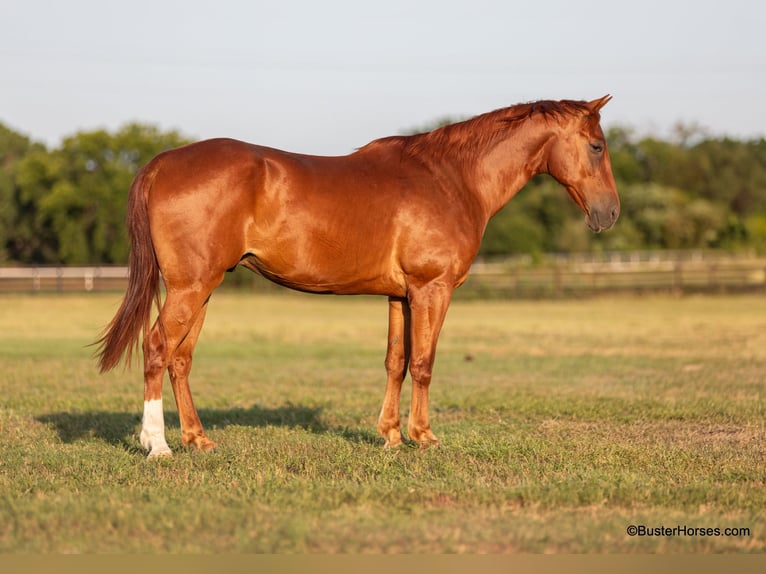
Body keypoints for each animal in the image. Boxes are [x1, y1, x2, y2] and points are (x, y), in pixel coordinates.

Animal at [97, 97, 624, 462]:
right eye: (596, 146)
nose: (611, 214)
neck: (451, 178)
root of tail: (162, 163)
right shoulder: (431, 289)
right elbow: (424, 363)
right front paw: (423, 437)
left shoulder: (400, 296)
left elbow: (396, 362)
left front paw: (390, 437)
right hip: (191, 288)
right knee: (157, 348)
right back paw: (158, 445)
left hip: (203, 288)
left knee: (181, 359)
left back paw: (198, 440)